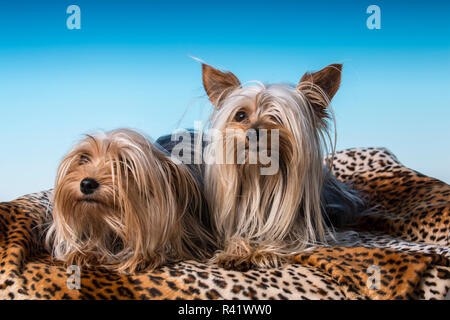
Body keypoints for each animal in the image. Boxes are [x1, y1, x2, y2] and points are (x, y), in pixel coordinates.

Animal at [198, 62, 366, 270]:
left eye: (277, 118)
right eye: (241, 115)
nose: (254, 132)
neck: (259, 177)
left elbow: (290, 238)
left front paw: (266, 251)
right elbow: (234, 237)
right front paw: (236, 251)